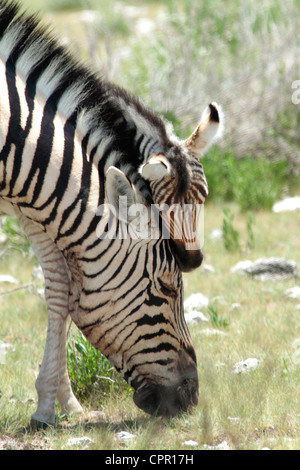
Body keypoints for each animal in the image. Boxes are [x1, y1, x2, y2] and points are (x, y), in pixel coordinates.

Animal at [0, 0, 223, 428]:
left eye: (202, 196)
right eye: (167, 287)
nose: (191, 396)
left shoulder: (34, 206)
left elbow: (60, 290)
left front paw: (55, 403)